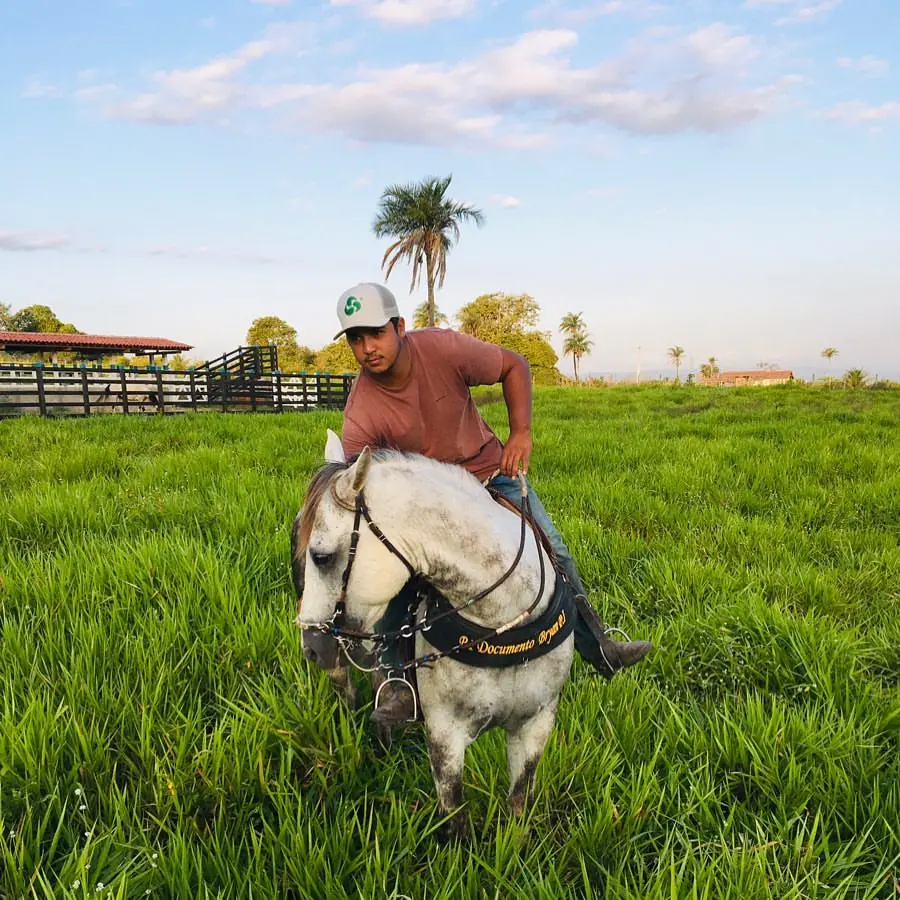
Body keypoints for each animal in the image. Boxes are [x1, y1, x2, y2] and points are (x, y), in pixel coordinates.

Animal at [293, 442, 576, 841]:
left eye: (322, 556)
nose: (311, 648)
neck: (500, 629)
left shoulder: (537, 723)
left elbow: (519, 802)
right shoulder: (445, 734)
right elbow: (454, 818)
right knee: (346, 692)